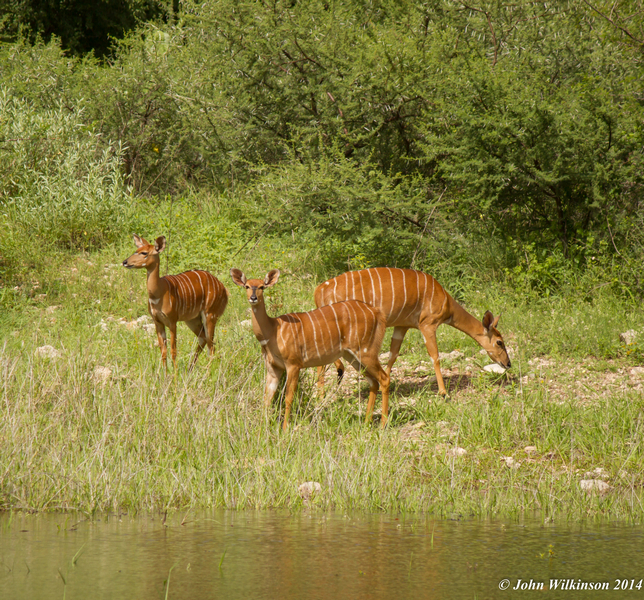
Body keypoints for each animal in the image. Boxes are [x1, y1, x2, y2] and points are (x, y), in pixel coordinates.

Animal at [122, 236, 229, 370]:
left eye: (144, 253)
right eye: (136, 250)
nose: (125, 262)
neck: (159, 291)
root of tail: (224, 289)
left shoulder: (172, 321)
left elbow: (173, 351)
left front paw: (175, 374)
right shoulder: (157, 321)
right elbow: (163, 351)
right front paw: (164, 373)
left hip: (210, 315)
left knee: (211, 344)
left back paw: (207, 370)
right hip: (192, 319)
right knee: (204, 339)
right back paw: (190, 369)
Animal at [233, 268, 390, 432]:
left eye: (262, 287)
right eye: (247, 286)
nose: (253, 298)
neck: (273, 330)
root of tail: (378, 313)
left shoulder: (294, 364)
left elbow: (288, 398)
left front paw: (284, 429)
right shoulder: (273, 367)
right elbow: (267, 398)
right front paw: (261, 429)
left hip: (366, 351)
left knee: (384, 378)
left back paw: (383, 424)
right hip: (352, 355)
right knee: (373, 381)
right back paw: (366, 423)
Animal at [314, 268, 510, 394]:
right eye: (499, 342)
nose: (508, 364)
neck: (446, 303)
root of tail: (319, 291)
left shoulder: (402, 326)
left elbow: (393, 355)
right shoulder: (428, 324)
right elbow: (435, 356)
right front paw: (443, 392)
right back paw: (321, 395)